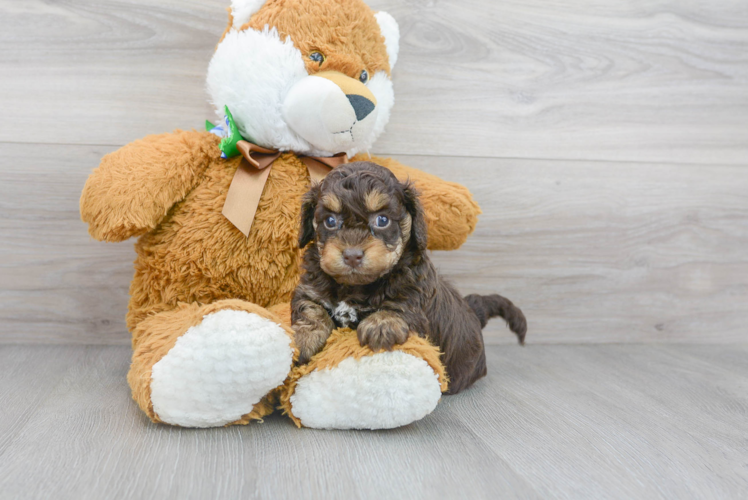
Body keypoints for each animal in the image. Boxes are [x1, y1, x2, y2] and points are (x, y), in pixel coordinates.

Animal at [292, 162, 524, 392]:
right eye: (330, 221)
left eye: (382, 220)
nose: (352, 256)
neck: (356, 286)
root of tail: (474, 312)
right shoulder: (309, 290)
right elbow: (311, 309)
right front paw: (303, 337)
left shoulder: (414, 294)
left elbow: (400, 305)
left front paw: (381, 325)